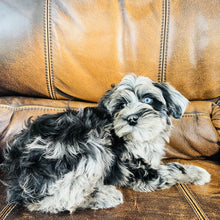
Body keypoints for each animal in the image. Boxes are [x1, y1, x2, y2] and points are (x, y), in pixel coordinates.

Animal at [1, 74, 211, 213]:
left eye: (148, 99)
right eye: (121, 105)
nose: (132, 118)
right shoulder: (137, 172)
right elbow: (173, 169)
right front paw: (198, 172)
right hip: (89, 146)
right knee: (57, 200)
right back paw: (104, 196)